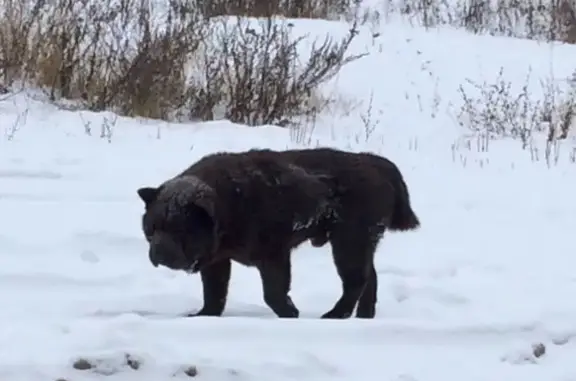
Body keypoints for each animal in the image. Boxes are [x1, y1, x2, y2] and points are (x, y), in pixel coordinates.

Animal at [137, 148, 420, 318]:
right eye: (152, 228)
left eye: (180, 229)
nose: (159, 252)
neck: (229, 203)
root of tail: (379, 165)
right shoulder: (218, 260)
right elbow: (214, 293)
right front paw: (205, 315)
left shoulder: (273, 254)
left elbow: (273, 292)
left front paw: (290, 312)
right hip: (358, 243)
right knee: (370, 277)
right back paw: (363, 316)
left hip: (349, 241)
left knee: (356, 280)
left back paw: (335, 315)